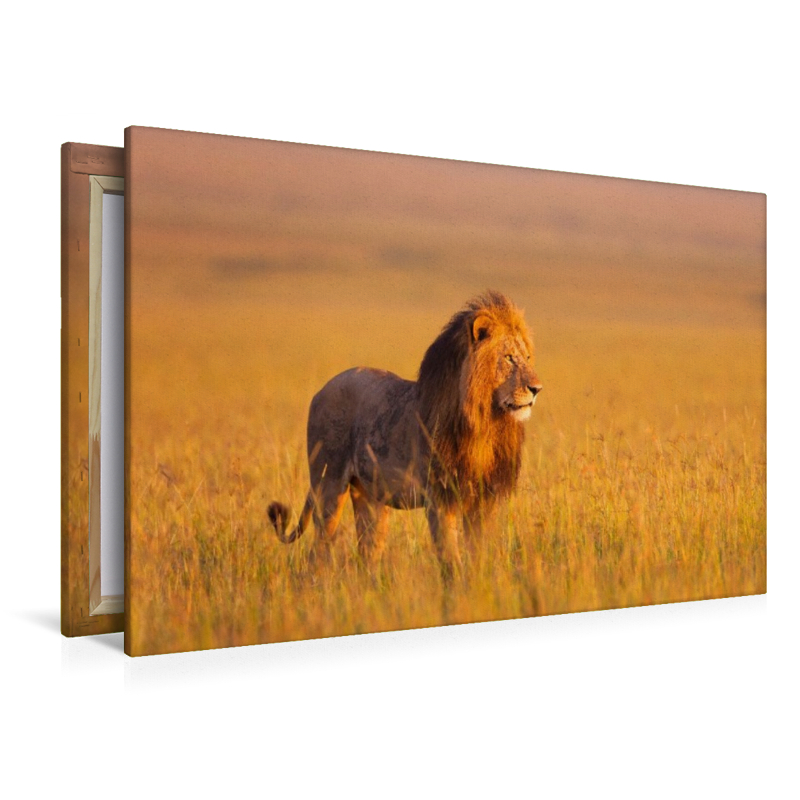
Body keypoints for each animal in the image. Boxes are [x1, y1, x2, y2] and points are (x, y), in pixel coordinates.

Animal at [267, 290, 543, 578]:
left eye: (528, 358)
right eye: (509, 358)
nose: (537, 388)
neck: (485, 424)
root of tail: (321, 390)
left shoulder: (483, 498)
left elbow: (480, 553)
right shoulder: (439, 498)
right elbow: (450, 557)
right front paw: (457, 585)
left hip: (371, 498)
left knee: (368, 553)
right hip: (328, 485)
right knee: (318, 551)